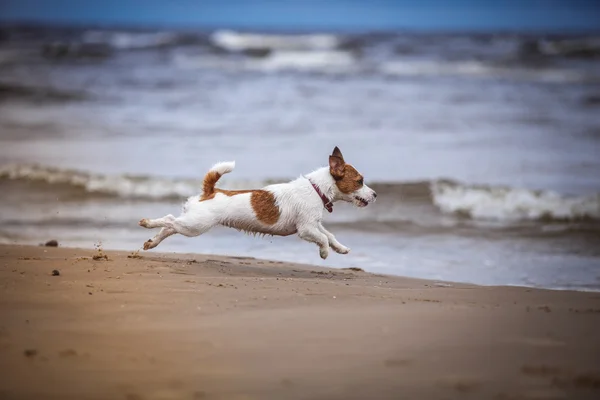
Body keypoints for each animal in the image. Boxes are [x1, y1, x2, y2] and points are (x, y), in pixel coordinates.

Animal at [138, 147, 378, 260]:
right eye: (360, 181)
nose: (375, 194)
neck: (316, 189)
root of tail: (210, 192)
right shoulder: (306, 229)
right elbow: (323, 239)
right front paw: (325, 253)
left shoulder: (314, 224)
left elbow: (329, 235)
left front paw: (340, 248)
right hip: (196, 226)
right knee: (170, 221)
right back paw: (148, 223)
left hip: (191, 223)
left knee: (170, 227)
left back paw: (152, 242)